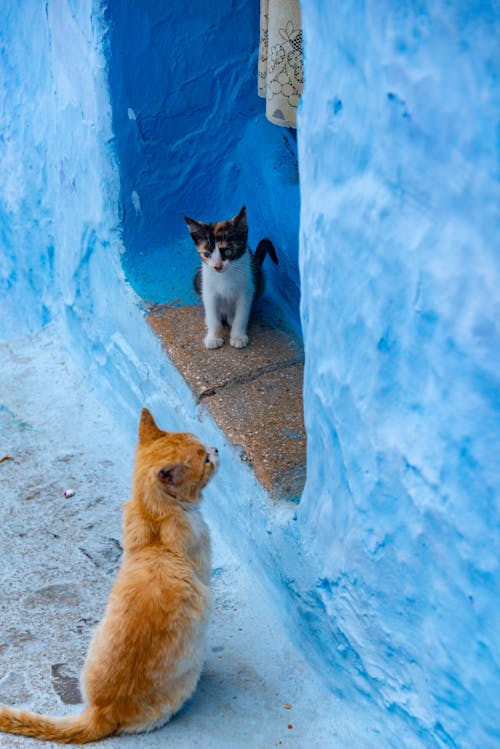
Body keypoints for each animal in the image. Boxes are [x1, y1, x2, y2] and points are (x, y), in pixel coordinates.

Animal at [0, 410, 219, 744]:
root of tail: (100, 712)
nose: (217, 449)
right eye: (205, 459)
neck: (153, 519)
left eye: (207, 448)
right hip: (186, 675)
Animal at [185, 206, 278, 350]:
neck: (225, 276)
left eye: (228, 252)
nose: (217, 267)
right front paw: (214, 337)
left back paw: (231, 318)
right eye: (206, 254)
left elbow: (242, 315)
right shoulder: (208, 290)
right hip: (197, 279)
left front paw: (238, 336)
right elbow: (212, 314)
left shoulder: (247, 290)